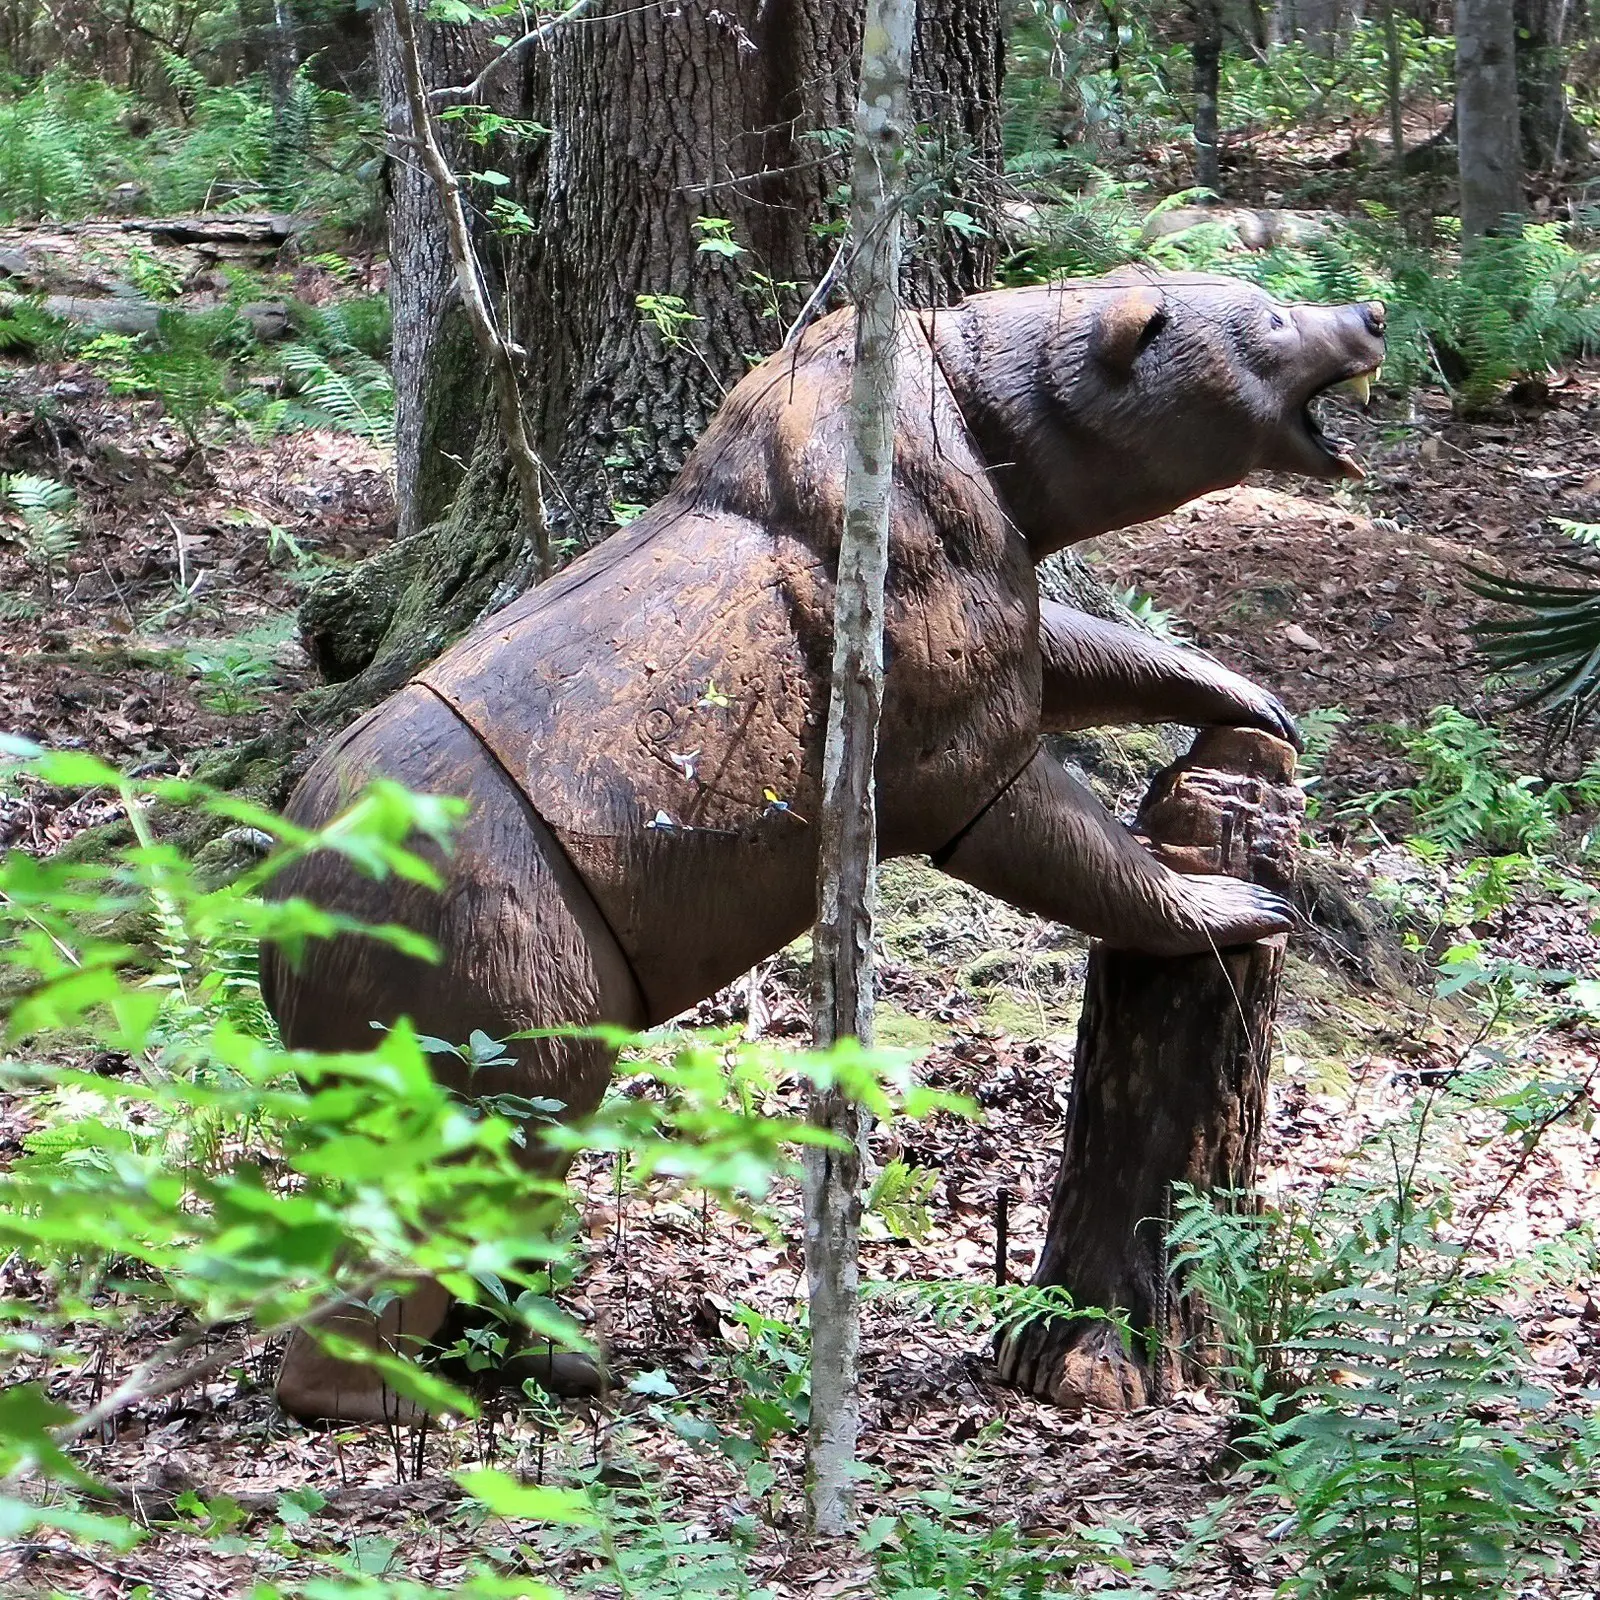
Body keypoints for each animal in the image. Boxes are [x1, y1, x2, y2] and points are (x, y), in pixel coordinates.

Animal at [262, 269, 1385, 1421]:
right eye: (1270, 321)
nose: (1369, 316)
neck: (994, 430)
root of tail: (277, 910)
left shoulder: (983, 553)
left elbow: (1067, 654)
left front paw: (1248, 696)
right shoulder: (913, 595)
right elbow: (1010, 796)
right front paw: (1228, 902)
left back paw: (548, 1357)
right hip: (487, 931)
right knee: (474, 1139)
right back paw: (388, 1395)